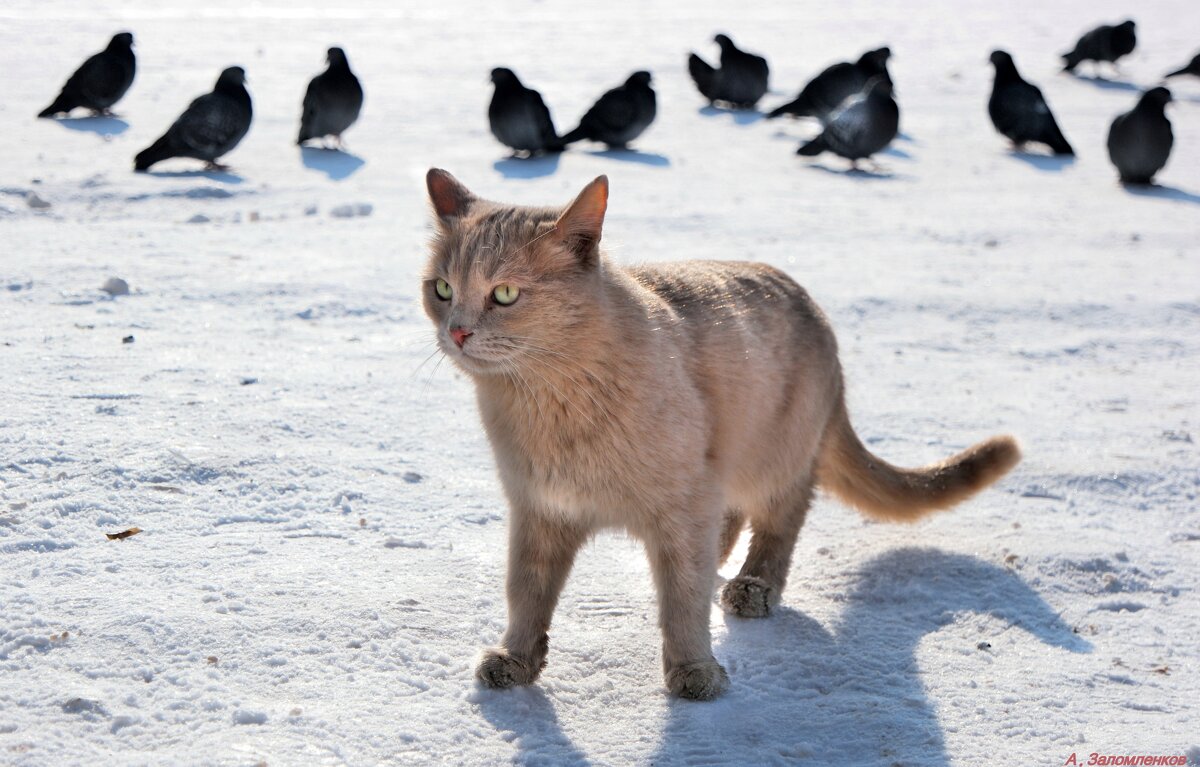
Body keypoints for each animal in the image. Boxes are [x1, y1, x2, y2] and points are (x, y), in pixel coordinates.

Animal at [422, 169, 1022, 700]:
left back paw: (754, 587)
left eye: (504, 294)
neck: (551, 401)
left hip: (772, 457)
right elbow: (527, 594)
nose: (458, 331)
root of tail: (816, 310)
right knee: (732, 520)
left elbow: (683, 601)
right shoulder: (540, 510)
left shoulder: (684, 502)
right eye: (443, 289)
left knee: (781, 517)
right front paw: (517, 661)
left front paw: (694, 672)